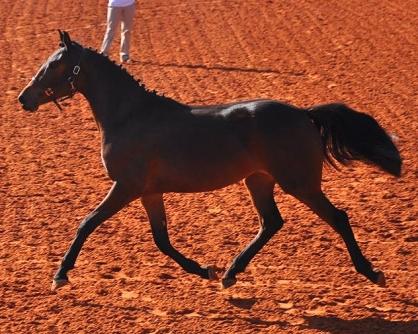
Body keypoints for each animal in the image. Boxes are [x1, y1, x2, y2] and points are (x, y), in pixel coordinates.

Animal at [18, 32, 400, 290]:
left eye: (54, 65)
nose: (24, 98)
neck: (130, 116)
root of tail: (303, 114)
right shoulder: (149, 192)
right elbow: (161, 239)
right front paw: (205, 270)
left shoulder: (126, 187)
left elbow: (87, 223)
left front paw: (60, 274)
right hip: (259, 180)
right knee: (271, 222)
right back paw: (230, 273)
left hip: (300, 183)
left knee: (337, 218)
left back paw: (372, 272)